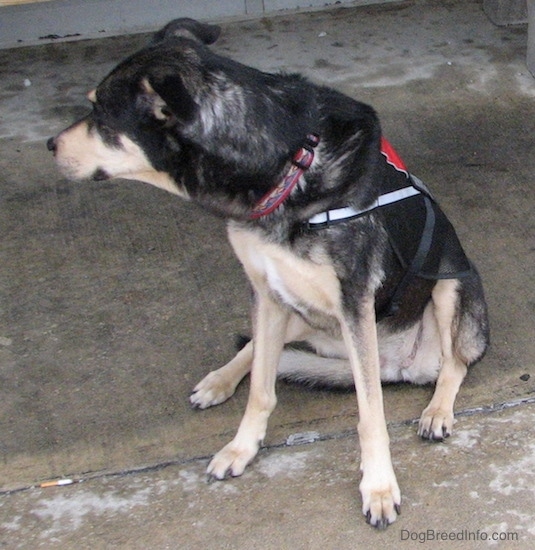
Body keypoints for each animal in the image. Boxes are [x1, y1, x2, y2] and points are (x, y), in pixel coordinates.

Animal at [48, 19, 492, 532]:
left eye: (101, 114)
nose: (49, 146)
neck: (286, 163)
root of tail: (394, 366)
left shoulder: (354, 303)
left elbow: (370, 414)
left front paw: (379, 487)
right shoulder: (265, 289)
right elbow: (261, 386)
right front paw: (241, 448)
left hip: (448, 287)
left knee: (454, 362)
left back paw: (437, 409)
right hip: (302, 310)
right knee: (261, 349)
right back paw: (220, 379)